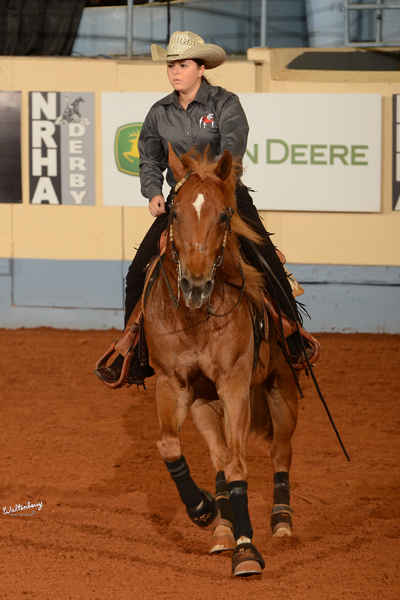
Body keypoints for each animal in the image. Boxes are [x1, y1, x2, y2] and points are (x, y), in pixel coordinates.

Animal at [142, 144, 298, 576]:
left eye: (225, 215)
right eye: (174, 213)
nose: (195, 285)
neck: (195, 318)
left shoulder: (234, 384)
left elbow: (240, 465)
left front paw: (247, 551)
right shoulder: (173, 384)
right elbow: (169, 445)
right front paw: (203, 510)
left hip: (282, 392)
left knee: (281, 452)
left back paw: (281, 522)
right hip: (205, 405)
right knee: (219, 457)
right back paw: (223, 528)